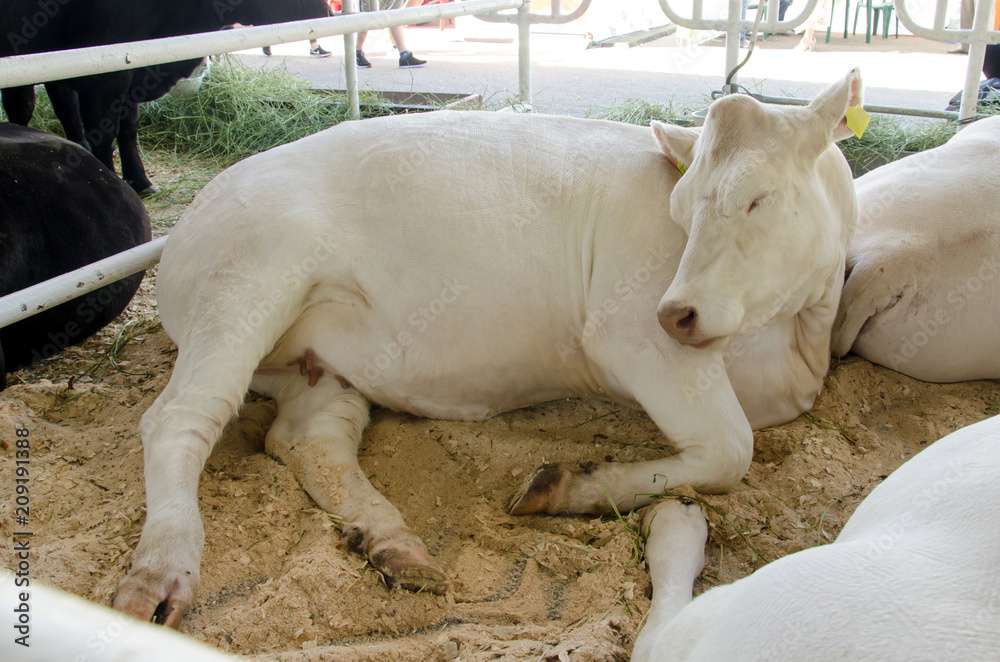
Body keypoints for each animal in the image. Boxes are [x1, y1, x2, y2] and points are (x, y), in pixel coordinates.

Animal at [0, 0, 332, 196]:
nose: (327, 11)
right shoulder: (104, 77)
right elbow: (103, 134)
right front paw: (109, 181)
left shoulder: (130, 72)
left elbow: (127, 129)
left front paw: (140, 180)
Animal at [112, 69, 863, 627]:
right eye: (681, 209)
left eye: (758, 198)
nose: (677, 312)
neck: (794, 335)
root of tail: (190, 218)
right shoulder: (627, 334)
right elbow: (731, 451)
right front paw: (568, 485)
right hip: (247, 282)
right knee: (179, 417)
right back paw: (163, 568)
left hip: (318, 362)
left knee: (307, 438)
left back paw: (395, 545)